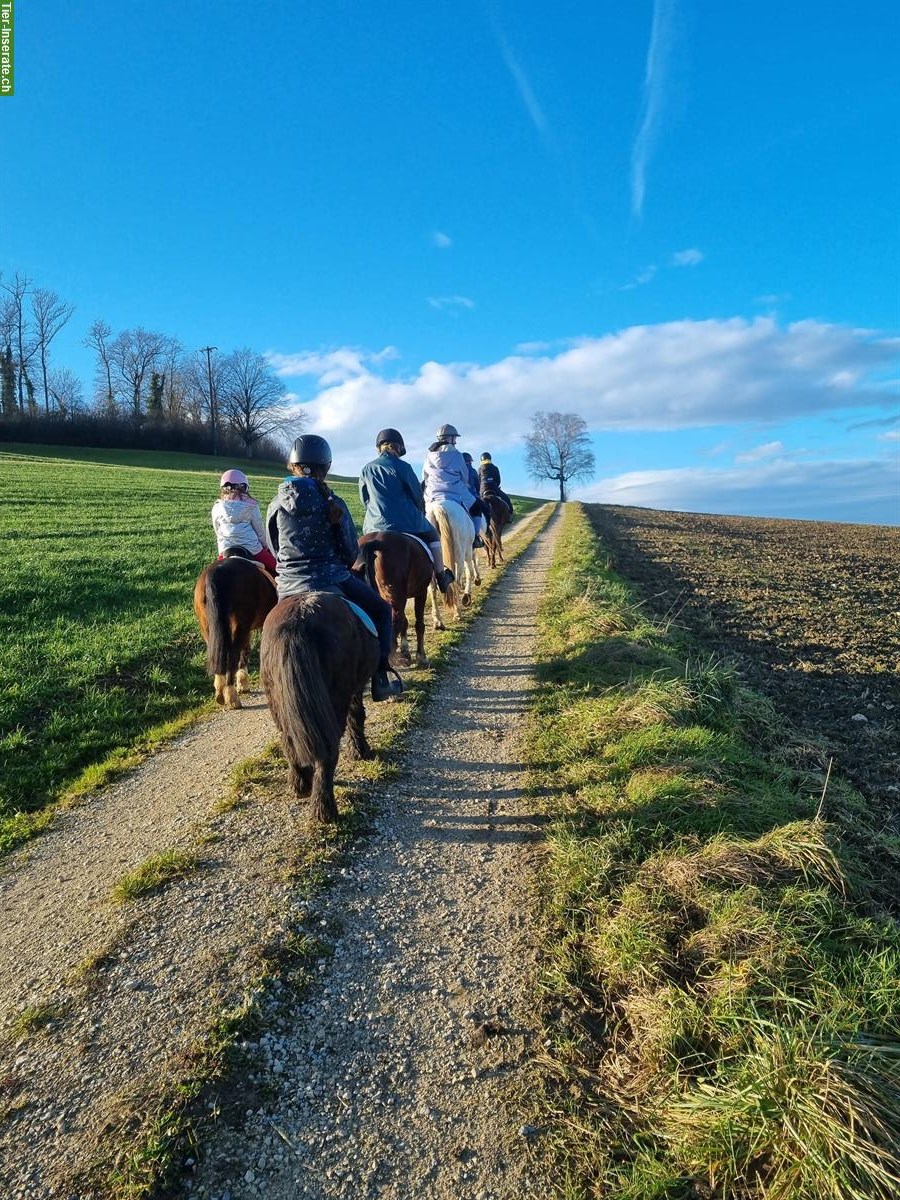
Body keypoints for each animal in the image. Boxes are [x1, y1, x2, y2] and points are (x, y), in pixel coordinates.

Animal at [195, 554, 280, 710]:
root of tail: (216, 572)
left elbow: (245, 651)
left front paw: (243, 684)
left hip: (208, 627)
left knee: (220, 656)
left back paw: (220, 691)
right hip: (239, 625)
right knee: (233, 655)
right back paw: (232, 697)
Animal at [259, 592, 379, 825]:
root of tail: (297, 621)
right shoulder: (355, 688)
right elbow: (356, 716)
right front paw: (360, 751)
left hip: (277, 703)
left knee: (288, 741)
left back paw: (301, 785)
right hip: (336, 699)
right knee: (328, 753)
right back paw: (324, 809)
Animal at [355, 532, 434, 667]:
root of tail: (376, 541)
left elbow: (406, 622)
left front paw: (405, 650)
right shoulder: (421, 592)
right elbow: (419, 624)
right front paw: (421, 656)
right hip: (396, 597)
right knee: (395, 622)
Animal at [427, 496, 482, 628]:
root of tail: (437, 507)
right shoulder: (467, 551)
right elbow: (470, 570)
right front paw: (467, 594)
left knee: (432, 588)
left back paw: (438, 620)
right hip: (459, 553)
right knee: (455, 580)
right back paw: (457, 612)